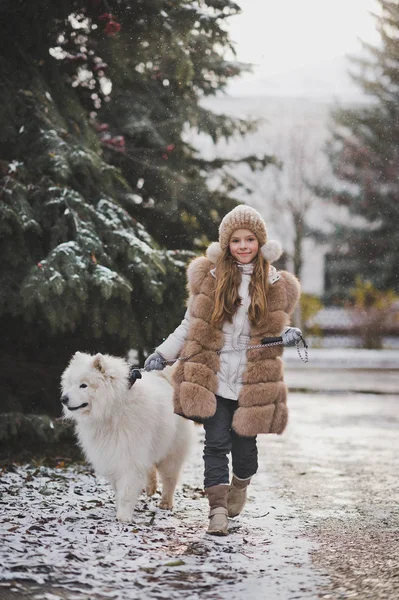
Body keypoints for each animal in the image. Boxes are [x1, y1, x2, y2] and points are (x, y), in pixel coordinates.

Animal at [59, 352, 195, 520]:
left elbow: (126, 490)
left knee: (170, 478)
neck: (114, 408)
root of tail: (166, 380)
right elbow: (118, 488)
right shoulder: (112, 455)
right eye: (70, 384)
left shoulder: (129, 455)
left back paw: (166, 503)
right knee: (151, 468)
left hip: (171, 452)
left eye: (83, 385)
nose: (63, 399)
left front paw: (123, 516)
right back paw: (151, 488)